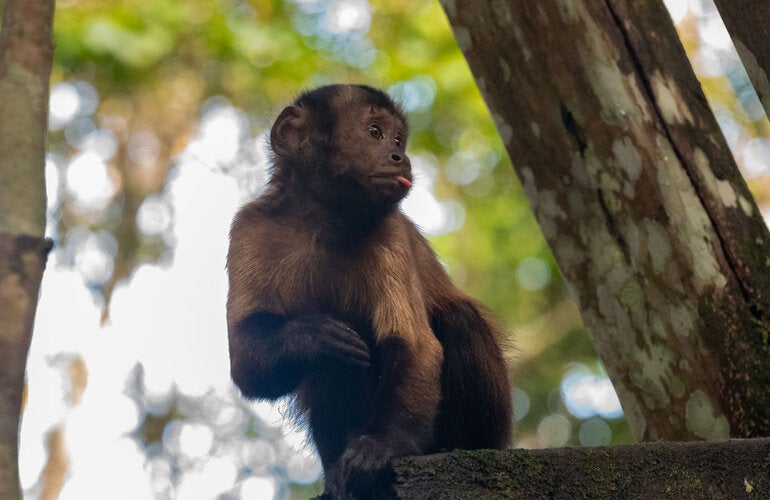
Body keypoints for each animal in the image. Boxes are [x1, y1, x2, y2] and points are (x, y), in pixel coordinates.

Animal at [226, 84, 512, 498]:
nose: (399, 157)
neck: (322, 217)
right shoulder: (249, 228)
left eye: (397, 140)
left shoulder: (388, 230)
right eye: (375, 132)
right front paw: (310, 335)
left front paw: (380, 447)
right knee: (334, 362)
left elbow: (415, 347)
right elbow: (246, 365)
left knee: (460, 318)